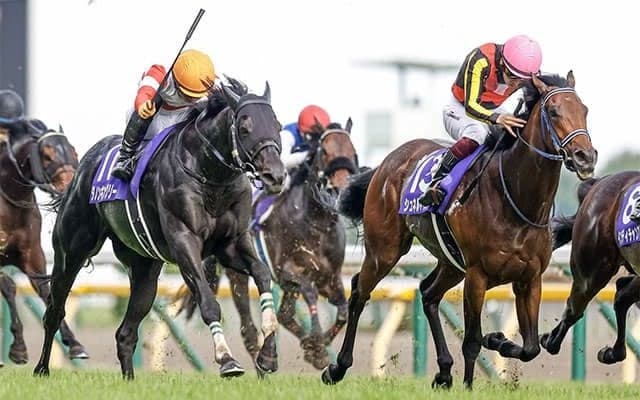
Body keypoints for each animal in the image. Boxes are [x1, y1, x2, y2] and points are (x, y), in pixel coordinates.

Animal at [0, 120, 84, 365]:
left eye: (74, 152)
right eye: (47, 156)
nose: (71, 187)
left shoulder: (33, 257)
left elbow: (48, 292)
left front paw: (74, 344)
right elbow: (9, 286)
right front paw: (18, 349)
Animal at [32, 80, 286, 380]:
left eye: (277, 125)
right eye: (245, 127)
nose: (275, 175)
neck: (210, 177)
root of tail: (84, 164)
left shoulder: (231, 244)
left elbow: (262, 273)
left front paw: (268, 356)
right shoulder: (184, 241)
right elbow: (209, 302)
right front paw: (227, 360)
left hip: (144, 270)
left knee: (125, 333)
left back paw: (129, 379)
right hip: (71, 252)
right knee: (54, 311)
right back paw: (42, 368)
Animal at [179, 120, 359, 370]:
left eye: (352, 152)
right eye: (324, 151)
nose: (342, 188)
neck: (316, 223)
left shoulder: (331, 277)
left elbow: (342, 311)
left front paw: (317, 346)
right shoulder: (288, 272)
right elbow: (311, 293)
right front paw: (316, 345)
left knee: (284, 314)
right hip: (238, 275)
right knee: (248, 328)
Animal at [321, 72, 598, 389]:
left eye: (584, 109)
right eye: (553, 111)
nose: (585, 157)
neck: (515, 198)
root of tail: (387, 162)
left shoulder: (530, 278)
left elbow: (530, 347)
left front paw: (498, 340)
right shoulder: (477, 276)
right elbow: (473, 341)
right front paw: (469, 383)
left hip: (451, 263)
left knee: (428, 294)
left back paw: (443, 371)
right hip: (385, 251)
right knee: (359, 292)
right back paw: (337, 368)